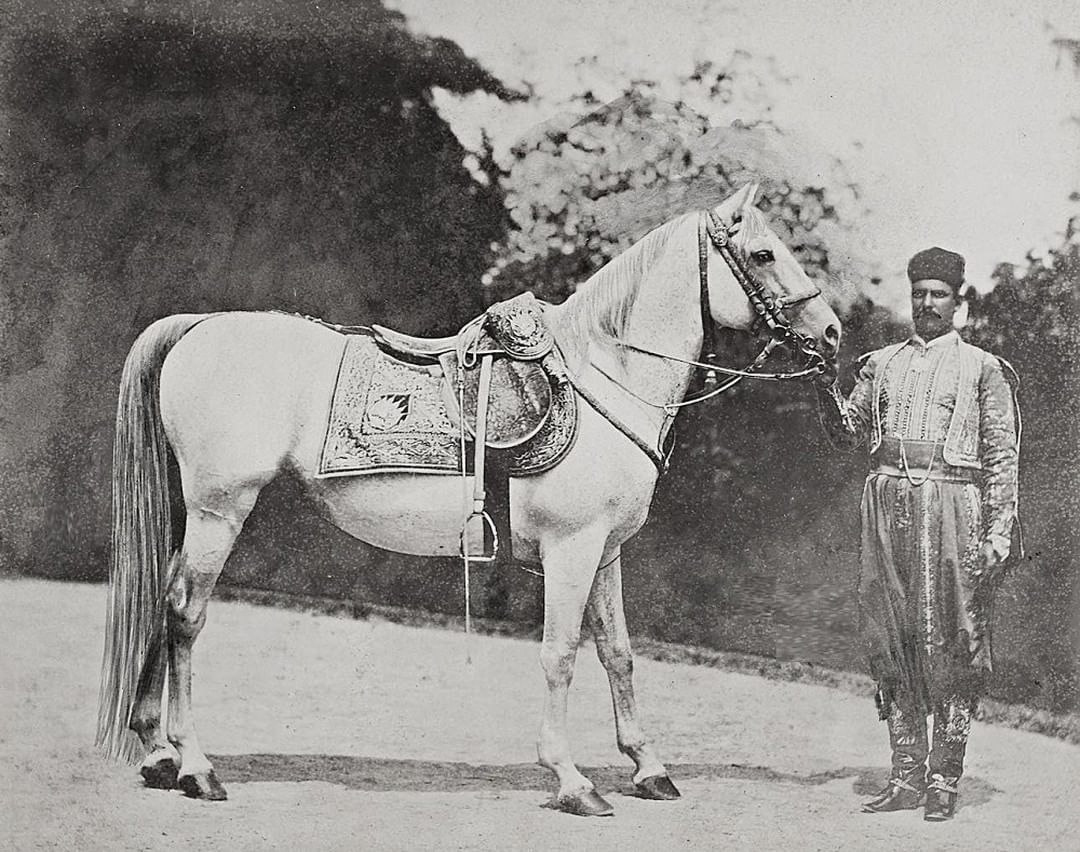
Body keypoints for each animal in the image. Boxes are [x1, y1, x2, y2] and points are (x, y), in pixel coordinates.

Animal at [96, 182, 841, 816]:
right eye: (764, 253)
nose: (832, 333)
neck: (604, 376)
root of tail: (200, 325)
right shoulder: (571, 552)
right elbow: (561, 654)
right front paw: (571, 780)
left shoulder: (604, 554)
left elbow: (619, 654)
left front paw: (648, 769)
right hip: (220, 511)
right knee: (186, 615)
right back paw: (196, 768)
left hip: (197, 516)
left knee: (164, 601)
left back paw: (158, 753)